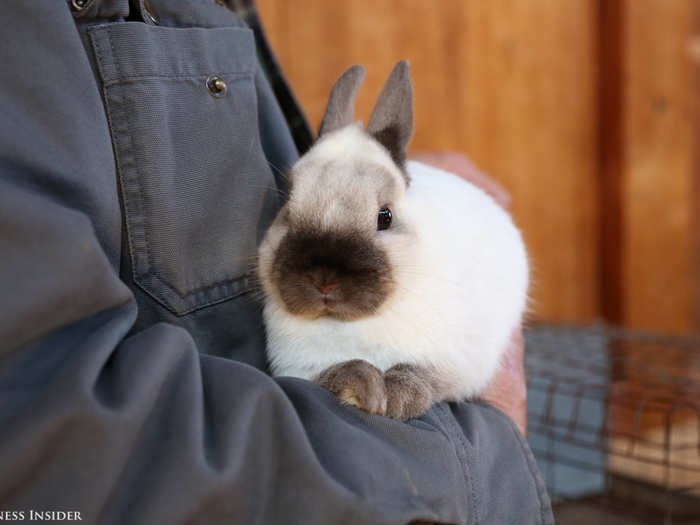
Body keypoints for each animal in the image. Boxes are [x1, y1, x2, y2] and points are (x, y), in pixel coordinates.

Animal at [254, 61, 528, 420]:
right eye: (288, 206)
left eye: (385, 217)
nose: (324, 280)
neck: (350, 324)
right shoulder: (300, 369)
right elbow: (334, 372)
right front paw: (364, 388)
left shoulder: (451, 364)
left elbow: (418, 374)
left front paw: (396, 398)